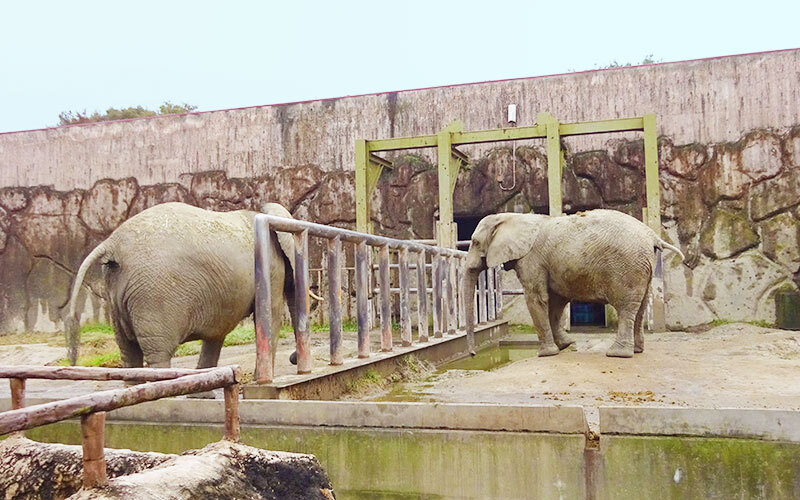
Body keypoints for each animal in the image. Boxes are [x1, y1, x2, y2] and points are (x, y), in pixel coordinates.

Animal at [64, 201, 298, 370]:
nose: (293, 358)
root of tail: (112, 243)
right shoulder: (271, 266)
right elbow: (270, 314)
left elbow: (217, 331)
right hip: (153, 294)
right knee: (158, 353)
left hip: (116, 291)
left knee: (128, 352)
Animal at [466, 209, 684, 358]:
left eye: (475, 242)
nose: (473, 354)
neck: (513, 217)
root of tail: (653, 236)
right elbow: (555, 301)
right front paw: (564, 345)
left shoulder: (531, 260)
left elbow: (537, 299)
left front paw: (546, 354)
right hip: (643, 266)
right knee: (640, 306)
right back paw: (637, 350)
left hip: (627, 266)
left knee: (626, 307)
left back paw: (617, 354)